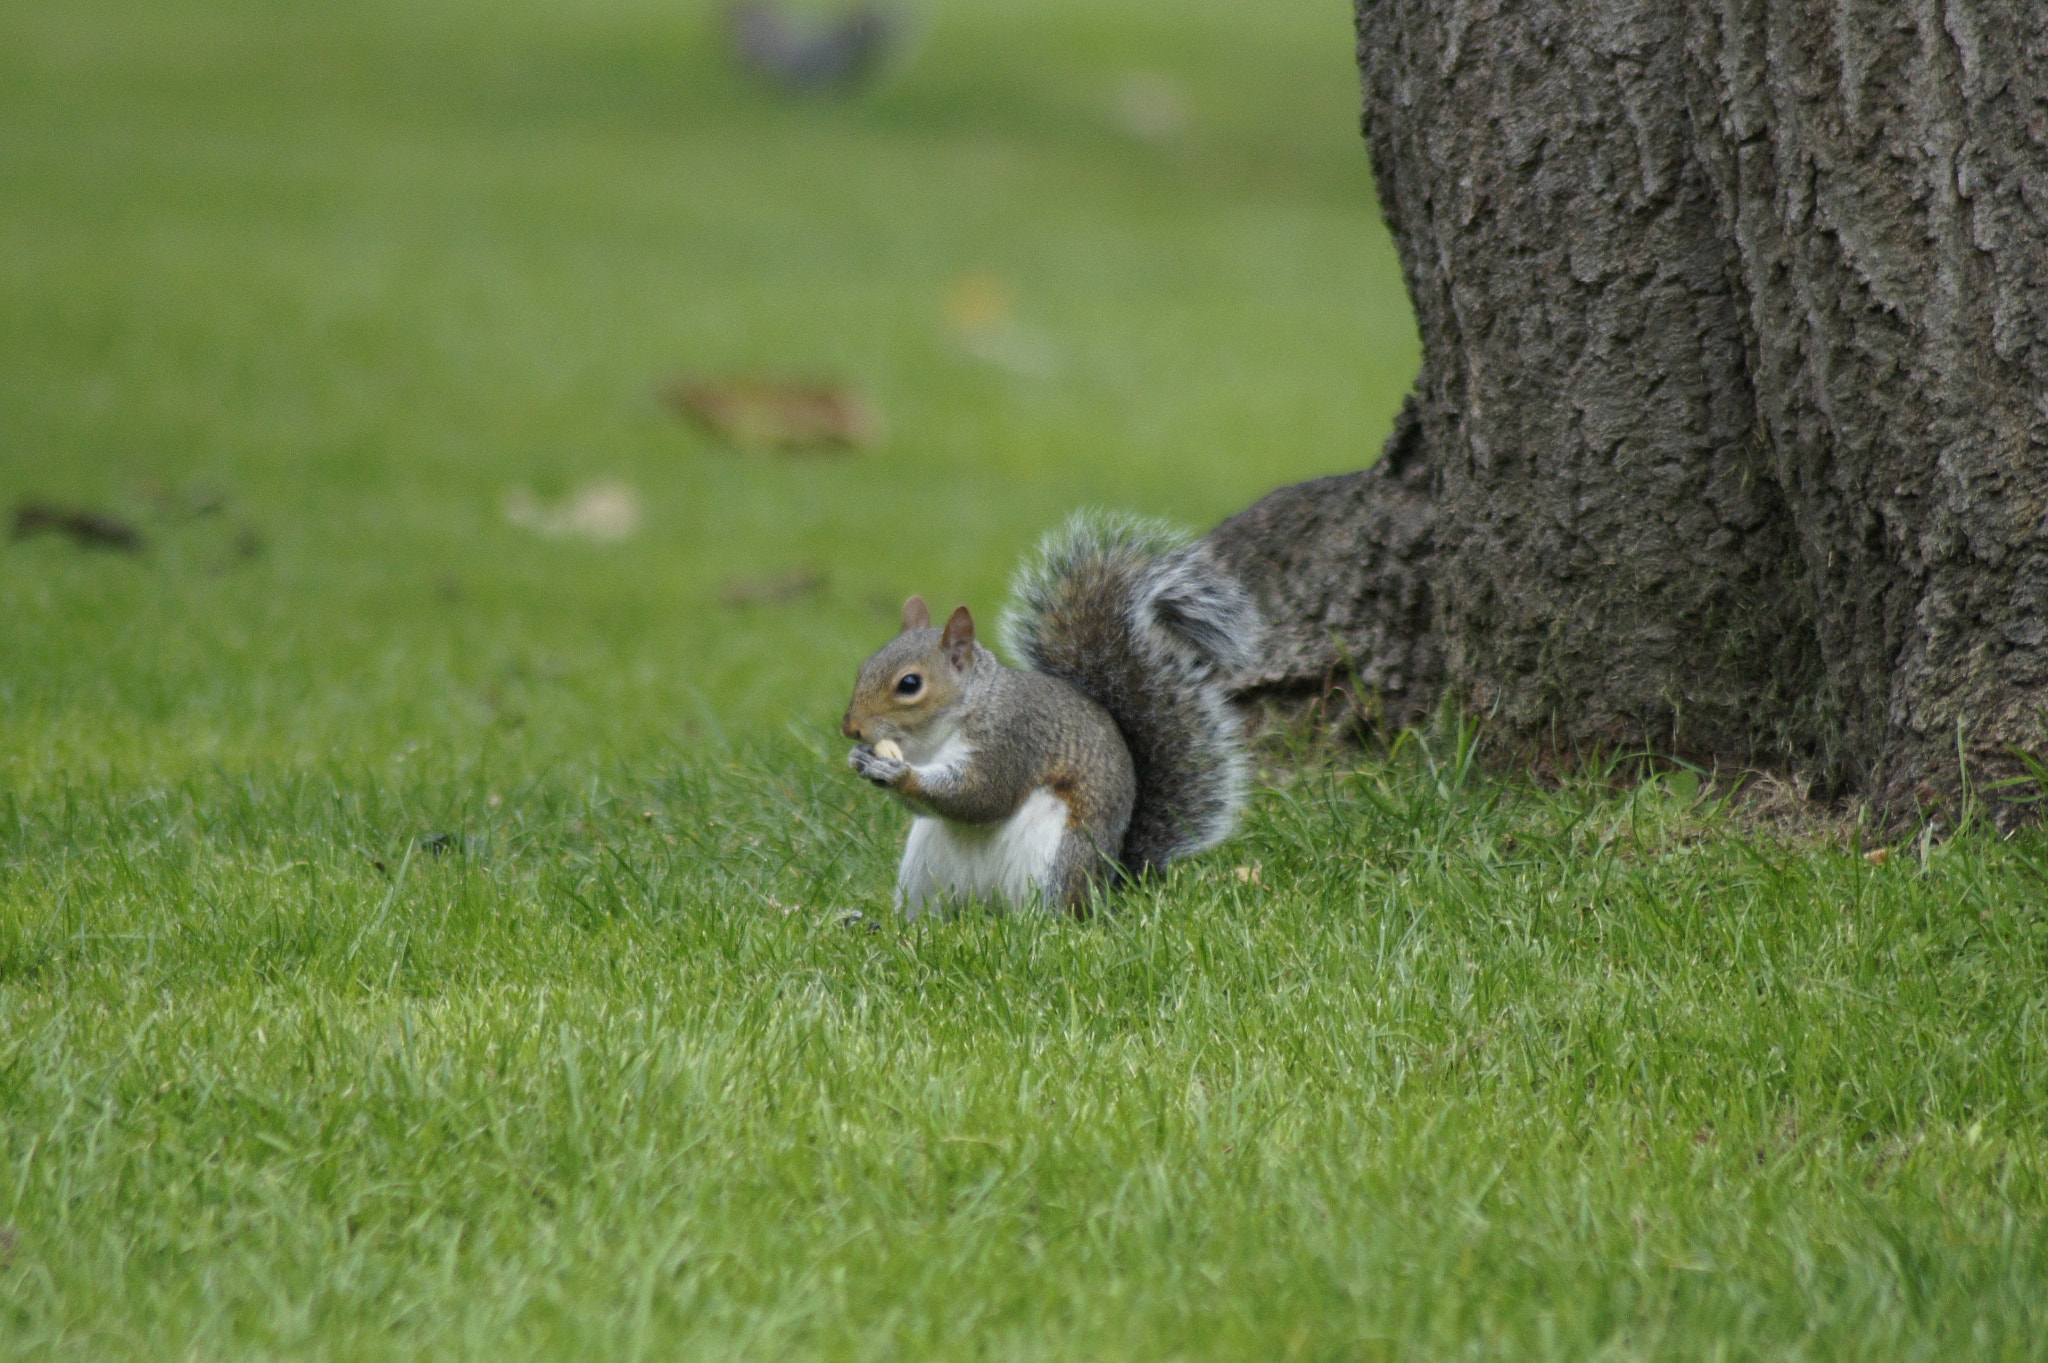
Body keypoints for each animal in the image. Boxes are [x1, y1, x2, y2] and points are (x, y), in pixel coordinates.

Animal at [835, 509, 1261, 912]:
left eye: (910, 684)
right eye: (864, 667)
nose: (850, 729)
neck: (936, 737)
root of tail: (1109, 883)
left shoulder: (1013, 736)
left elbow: (981, 796)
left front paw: (898, 772)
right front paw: (860, 759)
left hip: (1055, 859)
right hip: (923, 870)